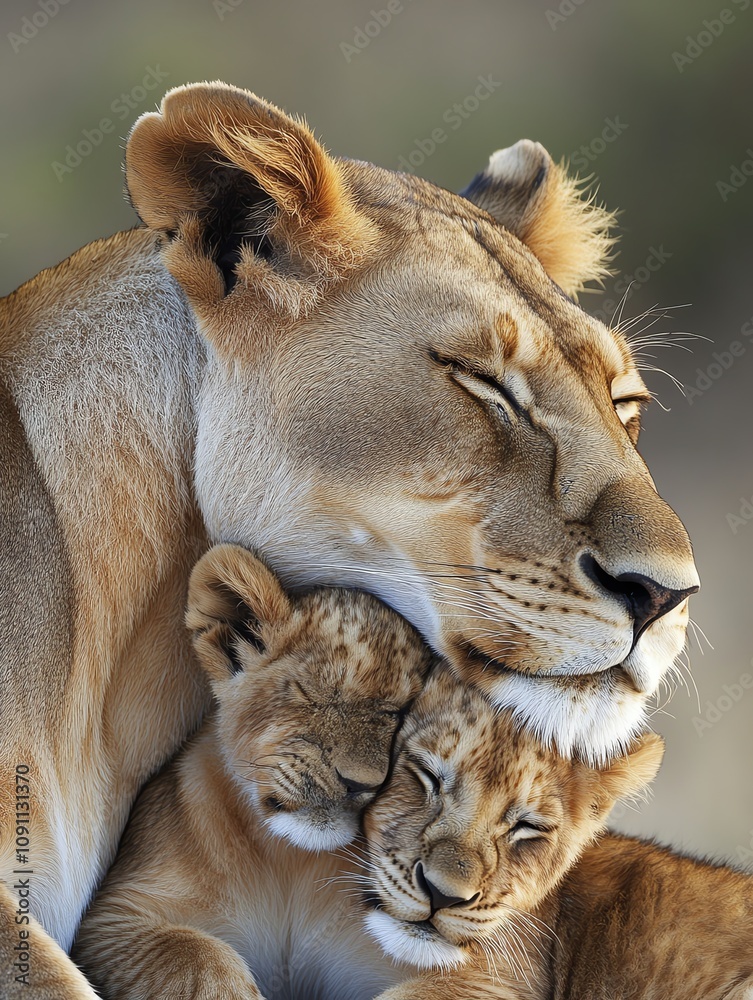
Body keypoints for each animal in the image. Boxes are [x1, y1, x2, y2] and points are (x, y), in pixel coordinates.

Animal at [72, 546, 663, 999]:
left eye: (397, 714)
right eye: (313, 693)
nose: (358, 780)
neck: (287, 862)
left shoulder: (492, 977)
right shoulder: (115, 918)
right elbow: (194, 956)